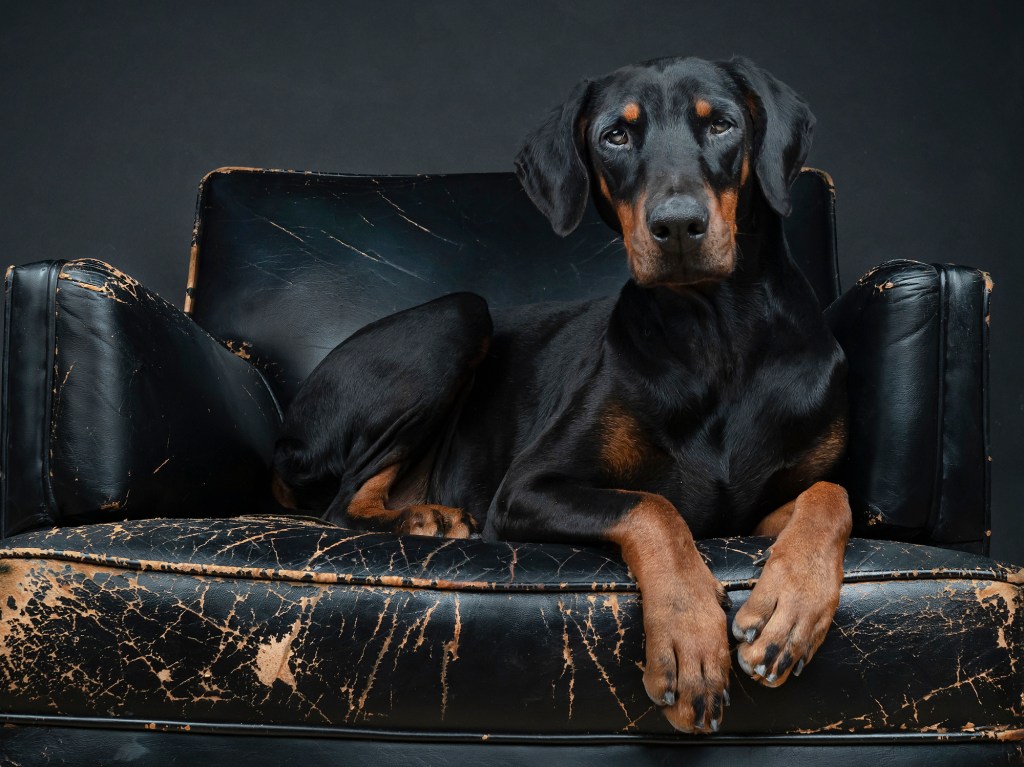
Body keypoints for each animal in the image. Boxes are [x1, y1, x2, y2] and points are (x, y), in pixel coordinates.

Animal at [270, 55, 847, 729]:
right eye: (615, 136)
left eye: (722, 124)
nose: (678, 225)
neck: (716, 338)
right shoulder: (525, 489)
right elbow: (652, 507)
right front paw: (689, 641)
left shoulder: (755, 511)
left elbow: (831, 495)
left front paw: (791, 608)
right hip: (458, 317)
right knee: (341, 504)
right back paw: (426, 516)